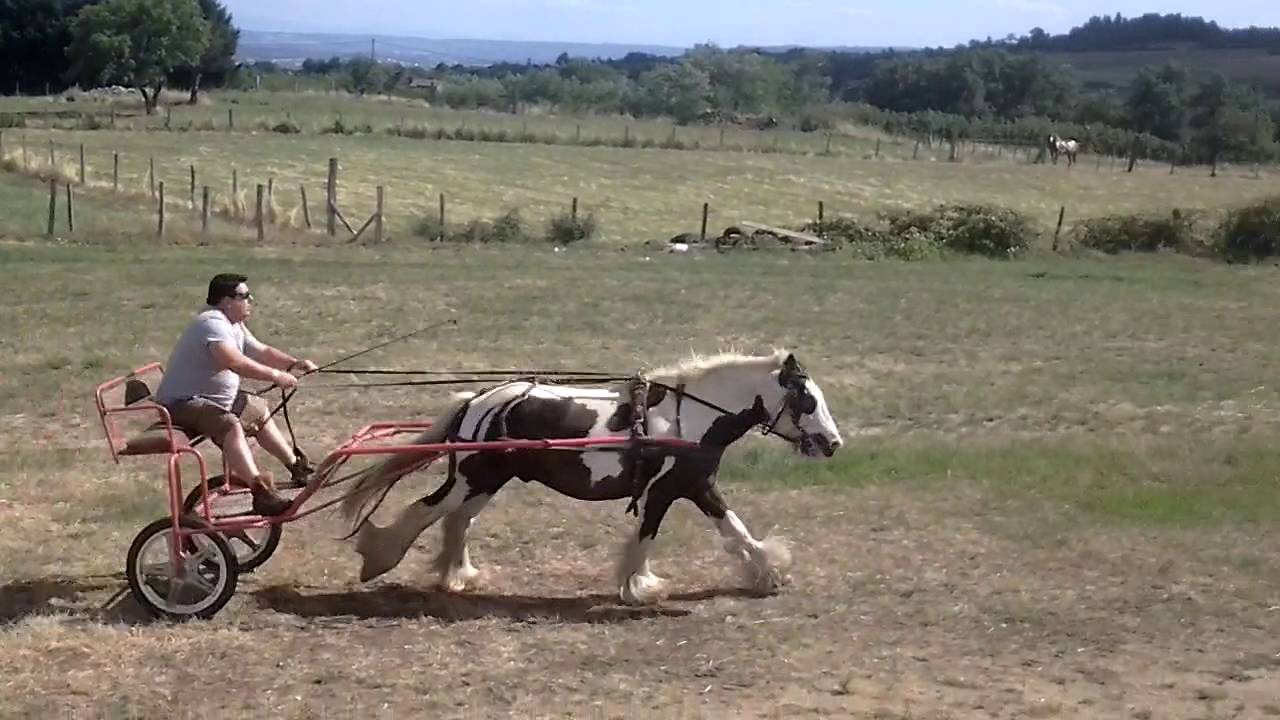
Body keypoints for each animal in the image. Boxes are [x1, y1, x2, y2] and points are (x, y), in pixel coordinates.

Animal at [336, 350, 844, 605]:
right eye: (807, 401)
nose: (833, 443)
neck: (689, 418)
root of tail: (477, 400)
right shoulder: (664, 491)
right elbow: (646, 537)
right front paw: (638, 588)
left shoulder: (696, 486)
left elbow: (734, 529)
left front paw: (767, 571)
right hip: (471, 479)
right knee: (427, 511)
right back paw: (379, 558)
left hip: (487, 482)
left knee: (456, 522)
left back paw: (456, 576)